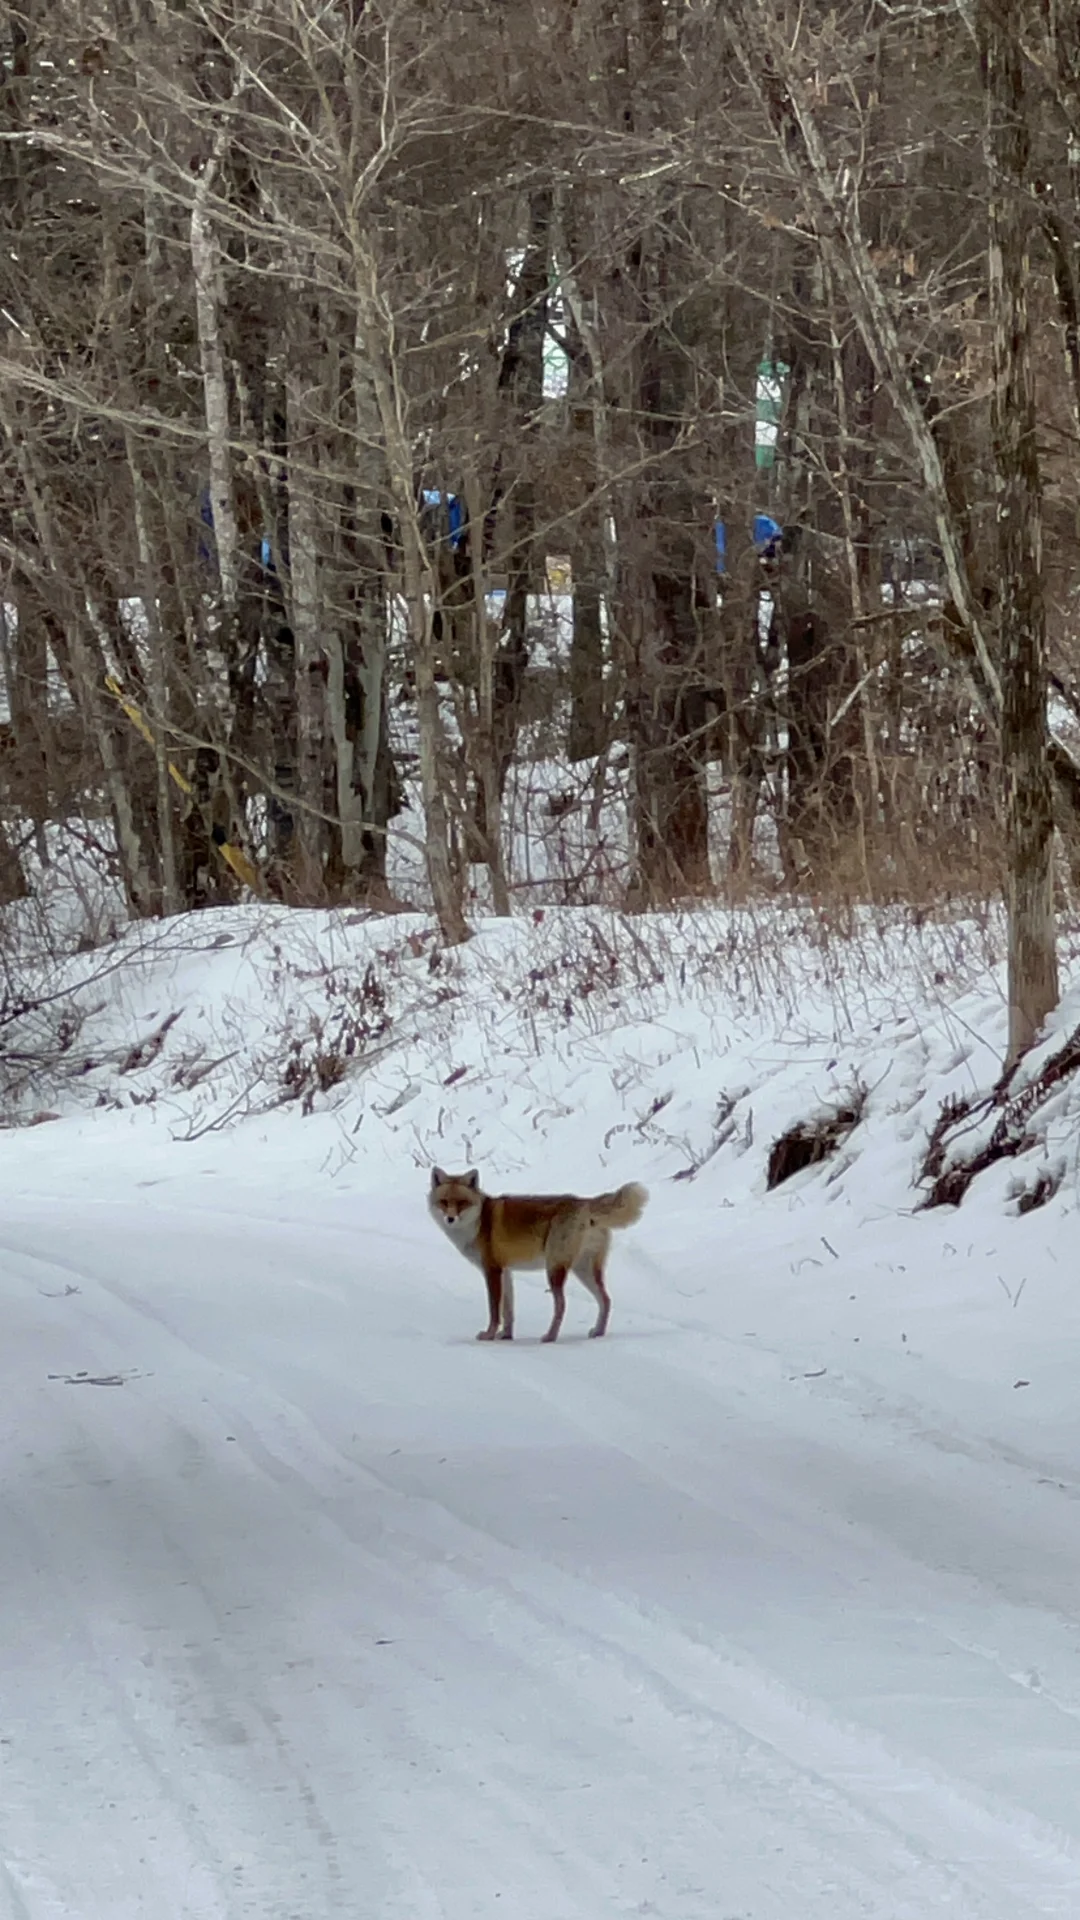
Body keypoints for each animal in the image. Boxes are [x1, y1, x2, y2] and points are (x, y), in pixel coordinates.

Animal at [426, 1159, 645, 1344]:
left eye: (461, 1203)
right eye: (444, 1202)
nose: (450, 1219)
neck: (478, 1222)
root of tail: (584, 1202)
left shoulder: (492, 1271)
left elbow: (494, 1311)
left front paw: (489, 1335)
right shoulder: (506, 1271)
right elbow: (508, 1311)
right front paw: (506, 1335)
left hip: (554, 1269)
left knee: (562, 1304)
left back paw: (550, 1336)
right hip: (584, 1270)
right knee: (606, 1300)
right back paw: (598, 1332)